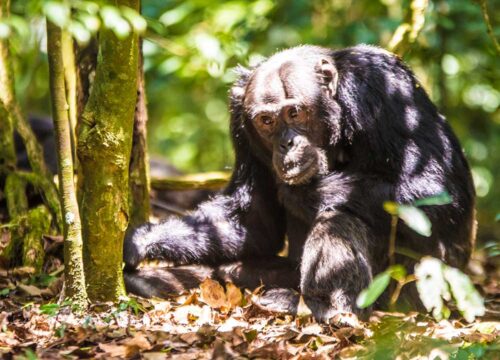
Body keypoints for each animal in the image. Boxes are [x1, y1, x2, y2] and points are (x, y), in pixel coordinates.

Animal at [123, 45, 474, 324]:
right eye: (266, 121)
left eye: (294, 113)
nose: (286, 143)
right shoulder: (239, 122)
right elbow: (255, 221)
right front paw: (140, 241)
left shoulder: (385, 88)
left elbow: (436, 188)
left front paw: (303, 193)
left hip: (421, 290)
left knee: (339, 220)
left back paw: (323, 307)